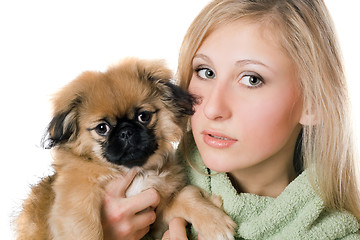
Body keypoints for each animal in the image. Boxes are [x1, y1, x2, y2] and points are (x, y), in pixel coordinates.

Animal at [16, 58, 236, 240]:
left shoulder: (155, 221)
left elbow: (187, 196)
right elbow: (86, 228)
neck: (134, 171)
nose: (126, 132)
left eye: (143, 116)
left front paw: (214, 222)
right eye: (102, 128)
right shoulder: (75, 200)